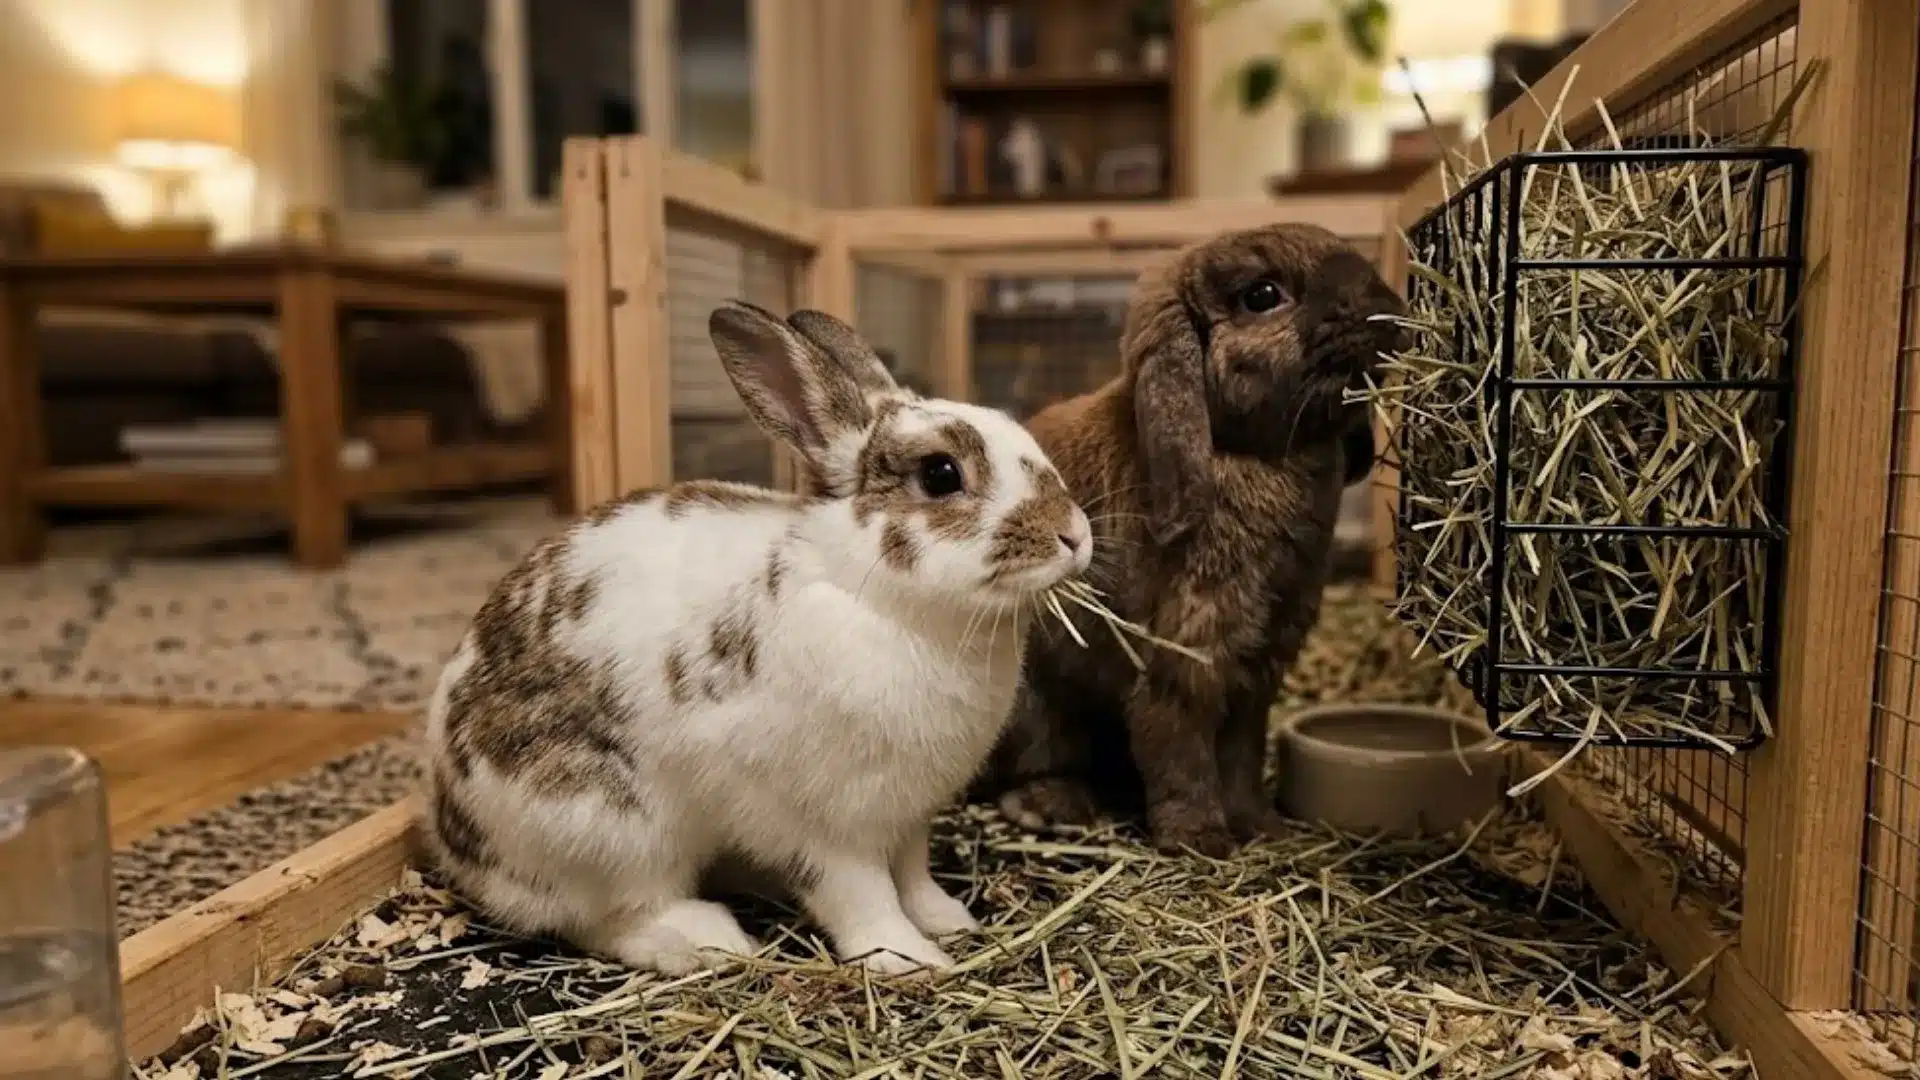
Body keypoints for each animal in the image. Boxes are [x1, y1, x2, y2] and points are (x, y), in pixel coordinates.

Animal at [420, 301, 1094, 977]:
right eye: (940, 474)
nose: (1075, 536)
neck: (876, 599)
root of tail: (457, 840)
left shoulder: (908, 816)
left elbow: (912, 874)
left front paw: (948, 920)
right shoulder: (828, 827)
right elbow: (863, 896)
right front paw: (906, 958)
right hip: (607, 827)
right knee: (607, 917)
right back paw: (705, 938)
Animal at [971, 223, 1407, 858]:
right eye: (1262, 295)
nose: (1389, 310)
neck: (1245, 452)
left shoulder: (1261, 666)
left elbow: (1241, 753)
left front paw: (1260, 826)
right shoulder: (1186, 651)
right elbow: (1180, 743)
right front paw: (1199, 838)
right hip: (1028, 708)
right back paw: (1047, 806)